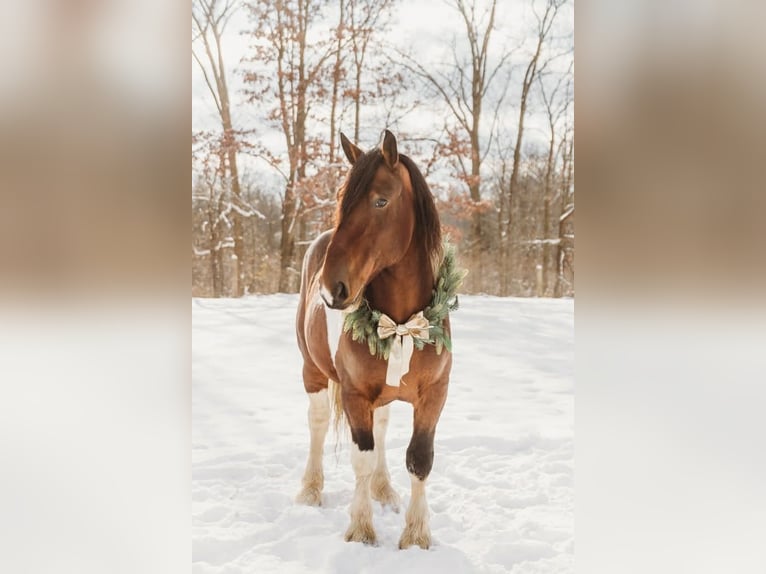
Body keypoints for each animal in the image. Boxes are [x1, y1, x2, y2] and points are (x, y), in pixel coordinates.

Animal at [294, 129, 452, 549]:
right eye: (340, 199)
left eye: (381, 200)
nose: (332, 289)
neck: (400, 323)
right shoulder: (354, 395)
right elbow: (360, 457)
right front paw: (362, 529)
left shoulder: (434, 394)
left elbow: (419, 459)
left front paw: (416, 535)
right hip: (312, 371)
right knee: (317, 423)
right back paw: (310, 489)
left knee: (381, 428)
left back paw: (384, 490)